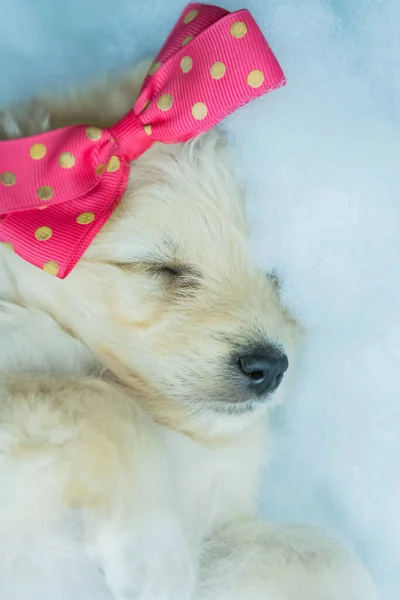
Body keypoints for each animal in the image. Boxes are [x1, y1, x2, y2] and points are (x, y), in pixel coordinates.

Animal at [0, 62, 376, 600]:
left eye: (279, 275)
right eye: (160, 268)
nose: (269, 366)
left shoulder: (219, 526)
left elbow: (316, 550)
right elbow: (97, 399)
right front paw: (151, 551)